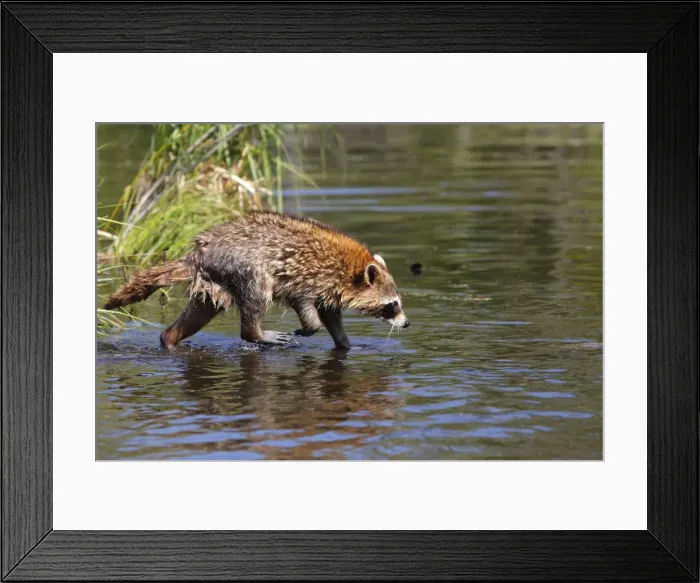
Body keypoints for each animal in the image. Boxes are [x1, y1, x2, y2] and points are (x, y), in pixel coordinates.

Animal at [104, 211, 410, 350]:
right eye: (392, 305)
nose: (406, 323)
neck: (351, 270)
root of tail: (199, 252)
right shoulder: (310, 279)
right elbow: (305, 306)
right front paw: (309, 328)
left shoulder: (330, 290)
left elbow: (332, 316)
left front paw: (345, 343)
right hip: (242, 266)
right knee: (257, 295)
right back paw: (256, 333)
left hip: (214, 281)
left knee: (200, 312)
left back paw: (170, 338)